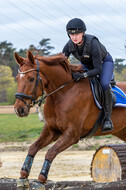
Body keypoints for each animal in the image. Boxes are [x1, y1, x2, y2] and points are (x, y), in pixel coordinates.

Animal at [13, 51, 126, 189]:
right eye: (17, 78)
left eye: (31, 78)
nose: (19, 109)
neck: (63, 92)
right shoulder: (51, 130)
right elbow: (33, 148)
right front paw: (23, 177)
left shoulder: (72, 134)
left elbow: (50, 152)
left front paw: (40, 180)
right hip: (123, 131)